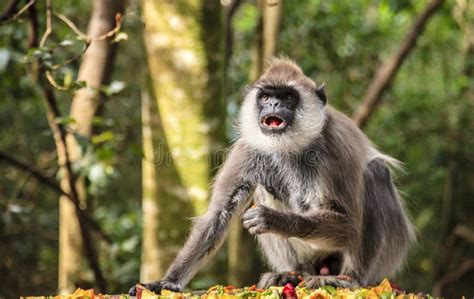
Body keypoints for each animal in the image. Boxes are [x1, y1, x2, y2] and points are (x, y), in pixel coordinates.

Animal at [129, 58, 414, 296]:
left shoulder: (334, 145)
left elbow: (350, 224)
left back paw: (349, 279)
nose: (274, 105)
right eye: (266, 97)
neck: (290, 146)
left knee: (376, 173)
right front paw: (166, 282)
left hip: (390, 251)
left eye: (288, 96)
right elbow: (217, 216)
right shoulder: (247, 148)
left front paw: (276, 220)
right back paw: (289, 274)